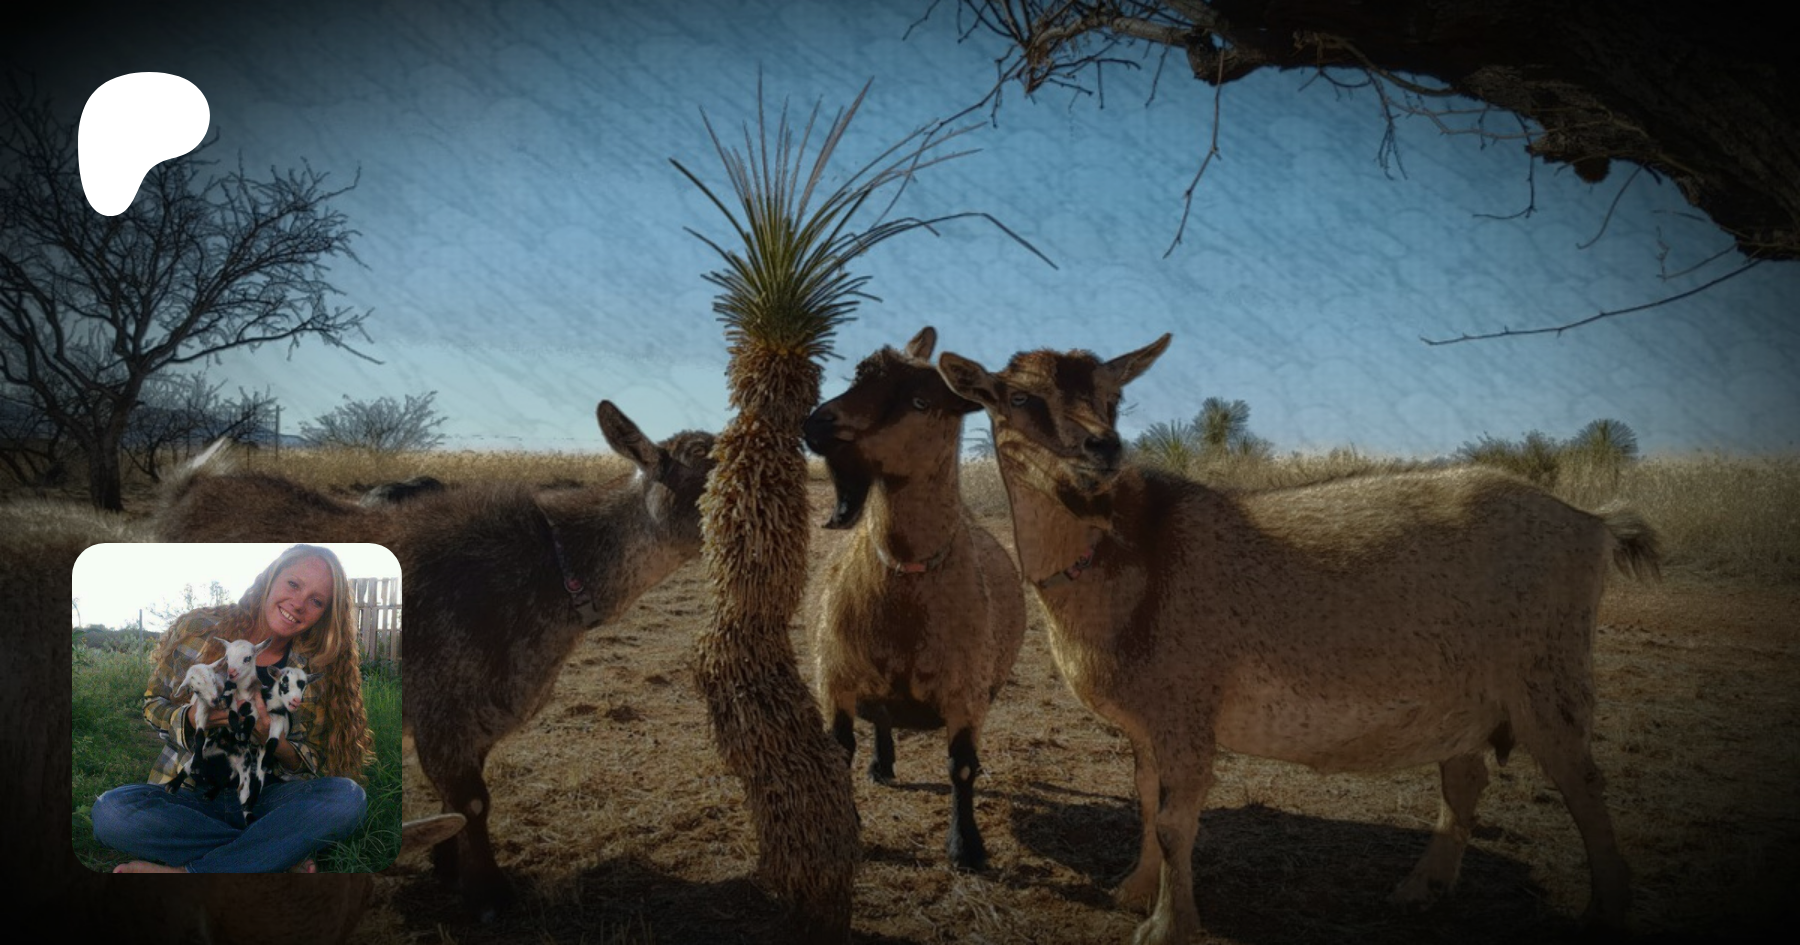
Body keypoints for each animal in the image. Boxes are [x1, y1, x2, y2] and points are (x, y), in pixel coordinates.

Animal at [155, 401, 717, 922]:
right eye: (705, 460)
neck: (552, 574)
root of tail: (188, 491)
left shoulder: (475, 720)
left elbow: (458, 802)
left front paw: (447, 869)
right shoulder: (444, 710)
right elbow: (473, 802)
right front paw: (491, 896)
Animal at [802, 327, 1026, 870]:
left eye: (922, 401)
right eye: (858, 378)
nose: (819, 422)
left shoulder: (966, 694)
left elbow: (961, 768)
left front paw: (966, 848)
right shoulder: (835, 679)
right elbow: (840, 753)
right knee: (882, 722)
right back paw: (882, 763)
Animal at [938, 335, 1659, 944]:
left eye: (1114, 397)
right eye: (1018, 397)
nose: (1102, 448)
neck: (1127, 551)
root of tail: (1592, 524)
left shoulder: (1188, 706)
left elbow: (1174, 820)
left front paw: (1168, 925)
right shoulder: (1145, 722)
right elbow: (1145, 801)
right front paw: (1134, 892)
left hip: (1548, 671)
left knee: (1582, 780)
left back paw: (1605, 911)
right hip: (1467, 694)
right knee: (1465, 779)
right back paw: (1420, 888)